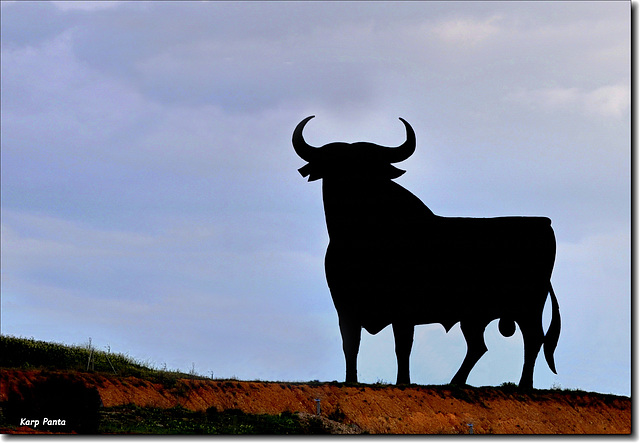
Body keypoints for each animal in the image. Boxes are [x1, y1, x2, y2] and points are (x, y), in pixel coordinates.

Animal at [292, 116, 560, 390]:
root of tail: (543, 223)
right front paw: (351, 381)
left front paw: (403, 381)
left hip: (528, 306)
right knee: (479, 346)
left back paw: (523, 385)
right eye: (334, 165)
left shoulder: (403, 309)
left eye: (370, 167)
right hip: (475, 316)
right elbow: (351, 344)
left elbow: (402, 346)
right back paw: (456, 382)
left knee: (532, 339)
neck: (362, 240)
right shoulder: (345, 307)